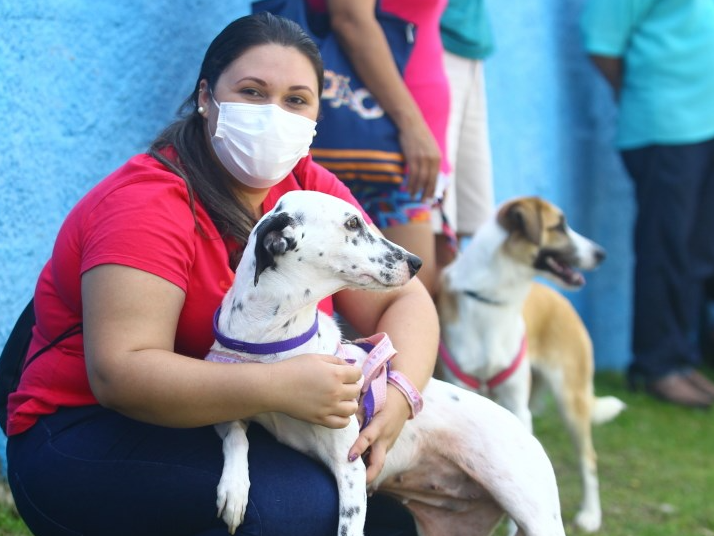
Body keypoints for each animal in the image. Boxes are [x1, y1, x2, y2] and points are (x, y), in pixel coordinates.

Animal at [436, 196, 624, 532]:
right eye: (559, 226)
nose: (601, 253)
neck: (493, 300)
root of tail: (559, 298)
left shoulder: (517, 406)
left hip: (571, 399)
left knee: (588, 458)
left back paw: (591, 514)